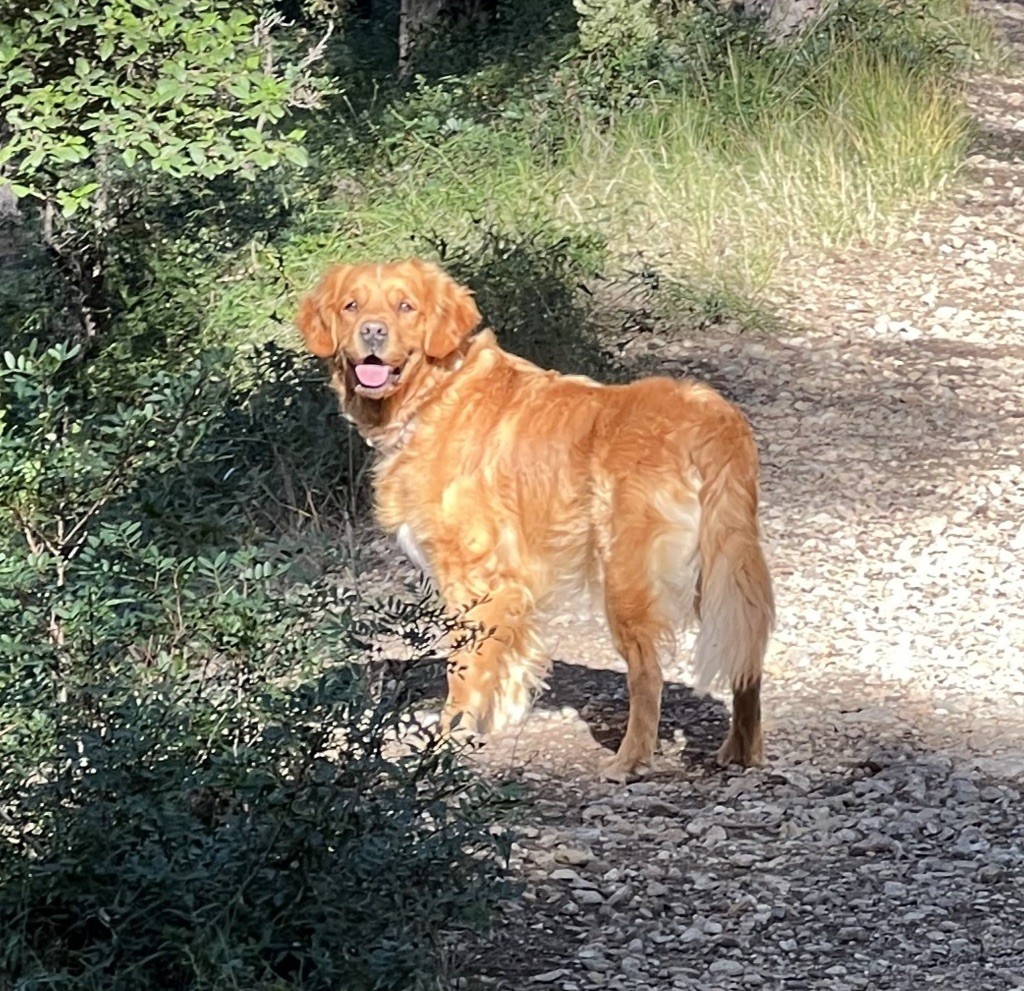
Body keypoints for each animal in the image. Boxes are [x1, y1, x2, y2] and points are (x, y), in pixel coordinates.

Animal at [299, 256, 774, 782]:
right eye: (351, 305)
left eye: (406, 306)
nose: (373, 331)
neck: (436, 392)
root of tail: (707, 415)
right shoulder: (511, 586)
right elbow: (505, 665)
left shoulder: (475, 579)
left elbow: (464, 669)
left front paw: (447, 740)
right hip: (725, 562)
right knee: (747, 657)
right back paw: (741, 749)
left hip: (627, 578)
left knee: (648, 674)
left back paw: (629, 759)